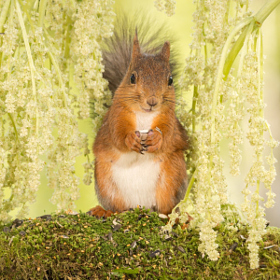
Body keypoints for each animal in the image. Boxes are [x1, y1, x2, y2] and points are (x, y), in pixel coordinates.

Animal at [87, 30, 188, 217]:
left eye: (170, 80)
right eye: (132, 77)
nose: (152, 101)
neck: (144, 115)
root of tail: (141, 205)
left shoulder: (169, 118)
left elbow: (167, 134)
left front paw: (157, 139)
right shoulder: (116, 116)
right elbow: (118, 135)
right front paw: (130, 139)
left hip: (172, 177)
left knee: (167, 209)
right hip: (106, 183)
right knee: (118, 208)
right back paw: (104, 211)